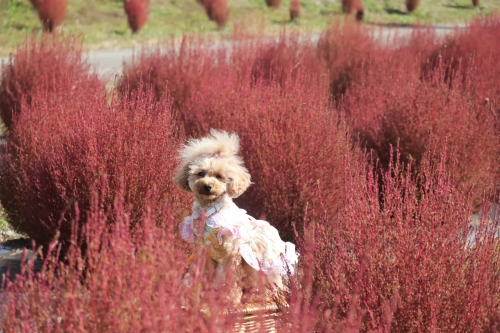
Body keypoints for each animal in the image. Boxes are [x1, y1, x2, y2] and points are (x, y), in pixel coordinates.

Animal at [175, 128, 296, 304]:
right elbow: (201, 272)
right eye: (200, 173)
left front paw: (227, 298)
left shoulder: (231, 252)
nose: (207, 186)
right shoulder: (204, 250)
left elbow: (228, 278)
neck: (210, 210)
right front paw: (197, 293)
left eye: (219, 176)